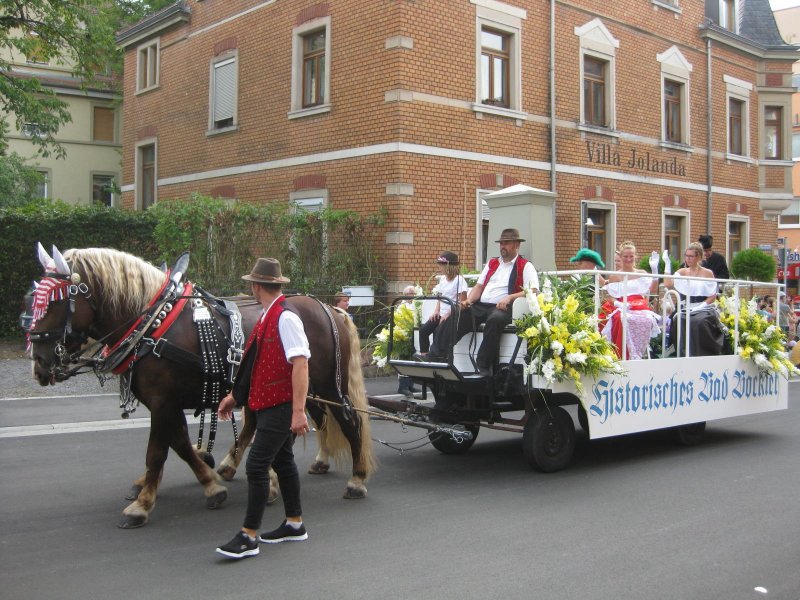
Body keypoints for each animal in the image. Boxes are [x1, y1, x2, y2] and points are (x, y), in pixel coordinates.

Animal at [25, 246, 376, 528]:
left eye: (56, 301)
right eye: (34, 299)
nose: (39, 362)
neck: (154, 324)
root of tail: (329, 309)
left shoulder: (163, 401)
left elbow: (157, 452)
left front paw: (141, 506)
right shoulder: (167, 403)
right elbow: (180, 444)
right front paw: (210, 484)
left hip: (328, 384)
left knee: (348, 421)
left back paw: (356, 479)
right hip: (299, 387)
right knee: (301, 421)